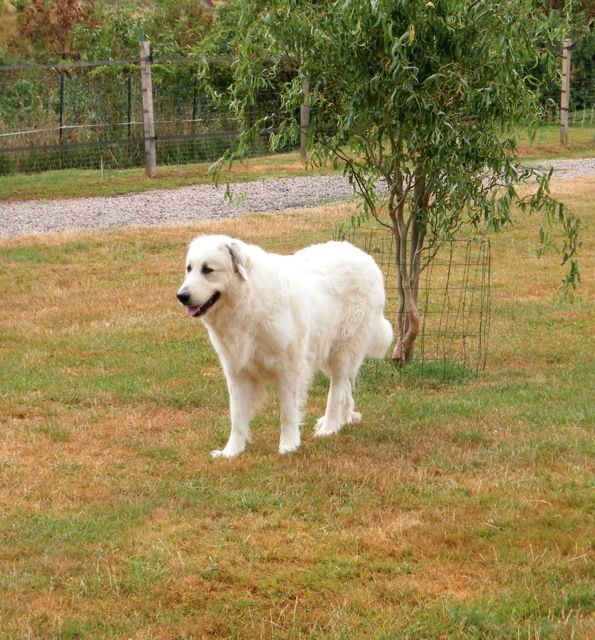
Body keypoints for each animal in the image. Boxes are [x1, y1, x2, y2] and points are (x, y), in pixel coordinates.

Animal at [177, 232, 394, 458]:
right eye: (189, 268)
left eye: (208, 270)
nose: (181, 296)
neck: (247, 301)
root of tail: (363, 256)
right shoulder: (237, 372)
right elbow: (236, 416)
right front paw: (231, 452)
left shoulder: (289, 369)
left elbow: (288, 413)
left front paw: (288, 446)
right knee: (345, 388)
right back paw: (343, 419)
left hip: (342, 350)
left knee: (337, 389)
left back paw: (329, 427)